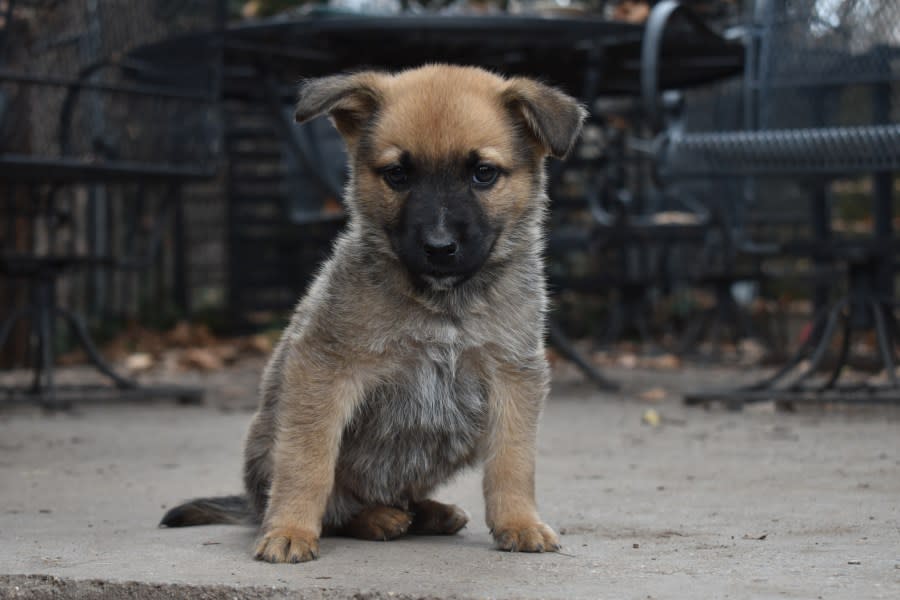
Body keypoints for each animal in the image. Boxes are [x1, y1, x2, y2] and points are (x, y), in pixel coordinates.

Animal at [161, 65, 584, 564]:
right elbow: (308, 463)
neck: (442, 307)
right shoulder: (324, 370)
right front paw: (290, 530)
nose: (439, 247)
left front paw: (519, 522)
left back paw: (429, 512)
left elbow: (513, 461)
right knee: (340, 506)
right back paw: (376, 518)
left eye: (483, 174)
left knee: (403, 495)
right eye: (397, 174)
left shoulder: (513, 375)